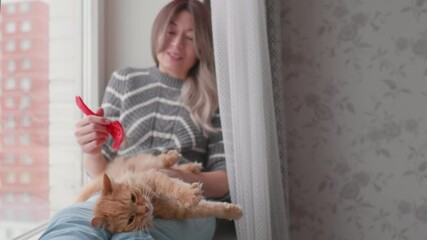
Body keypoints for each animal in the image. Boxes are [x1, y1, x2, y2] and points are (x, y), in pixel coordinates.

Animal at [76, 151, 244, 233]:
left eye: (132, 198)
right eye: (130, 219)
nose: (145, 208)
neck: (155, 203)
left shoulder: (153, 177)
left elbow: (174, 186)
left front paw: (190, 194)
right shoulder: (180, 211)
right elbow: (212, 208)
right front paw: (235, 212)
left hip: (151, 164)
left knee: (163, 161)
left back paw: (184, 161)